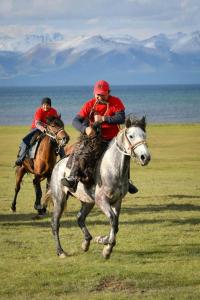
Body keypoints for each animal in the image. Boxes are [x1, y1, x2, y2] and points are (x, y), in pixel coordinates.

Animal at [47, 115, 151, 258]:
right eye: (131, 136)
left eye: (144, 135)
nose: (145, 157)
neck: (112, 169)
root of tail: (58, 164)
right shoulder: (102, 200)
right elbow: (112, 219)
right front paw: (106, 246)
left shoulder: (117, 201)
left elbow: (115, 224)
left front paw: (104, 242)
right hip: (59, 200)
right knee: (55, 223)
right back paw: (61, 251)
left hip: (87, 201)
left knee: (80, 218)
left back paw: (86, 242)